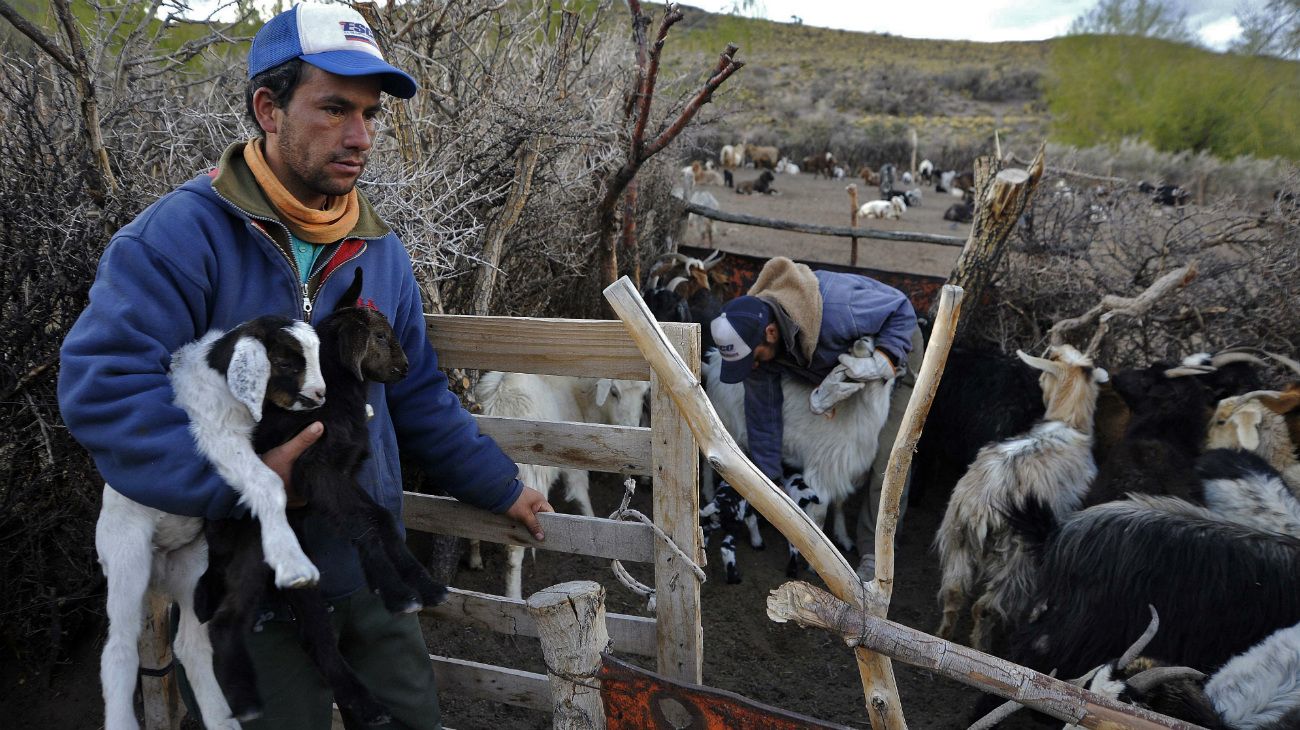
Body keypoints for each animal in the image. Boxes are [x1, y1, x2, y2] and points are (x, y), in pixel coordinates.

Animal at [96, 314, 327, 727]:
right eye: (286, 362)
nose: (319, 395)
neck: (218, 377)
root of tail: (160, 563)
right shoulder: (217, 438)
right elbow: (268, 483)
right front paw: (292, 562)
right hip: (126, 559)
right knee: (119, 649)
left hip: (193, 567)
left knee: (190, 644)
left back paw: (223, 717)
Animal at [197, 268, 447, 722]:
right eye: (380, 336)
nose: (405, 368)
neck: (339, 395)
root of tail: (214, 546)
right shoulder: (314, 471)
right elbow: (362, 522)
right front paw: (396, 591)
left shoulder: (344, 473)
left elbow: (379, 517)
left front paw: (421, 583)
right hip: (255, 551)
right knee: (238, 625)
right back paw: (250, 701)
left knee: (310, 635)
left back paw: (362, 702)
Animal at [470, 368, 647, 597]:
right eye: (614, 392)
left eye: (643, 394)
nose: (630, 427)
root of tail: (497, 403)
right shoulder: (573, 454)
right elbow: (580, 491)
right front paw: (594, 526)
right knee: (513, 549)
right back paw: (513, 595)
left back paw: (475, 558)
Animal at [935, 342, 1107, 649]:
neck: (1067, 423)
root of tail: (982, 506)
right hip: (1016, 557)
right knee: (984, 607)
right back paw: (981, 647)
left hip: (956, 536)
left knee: (954, 593)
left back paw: (942, 639)